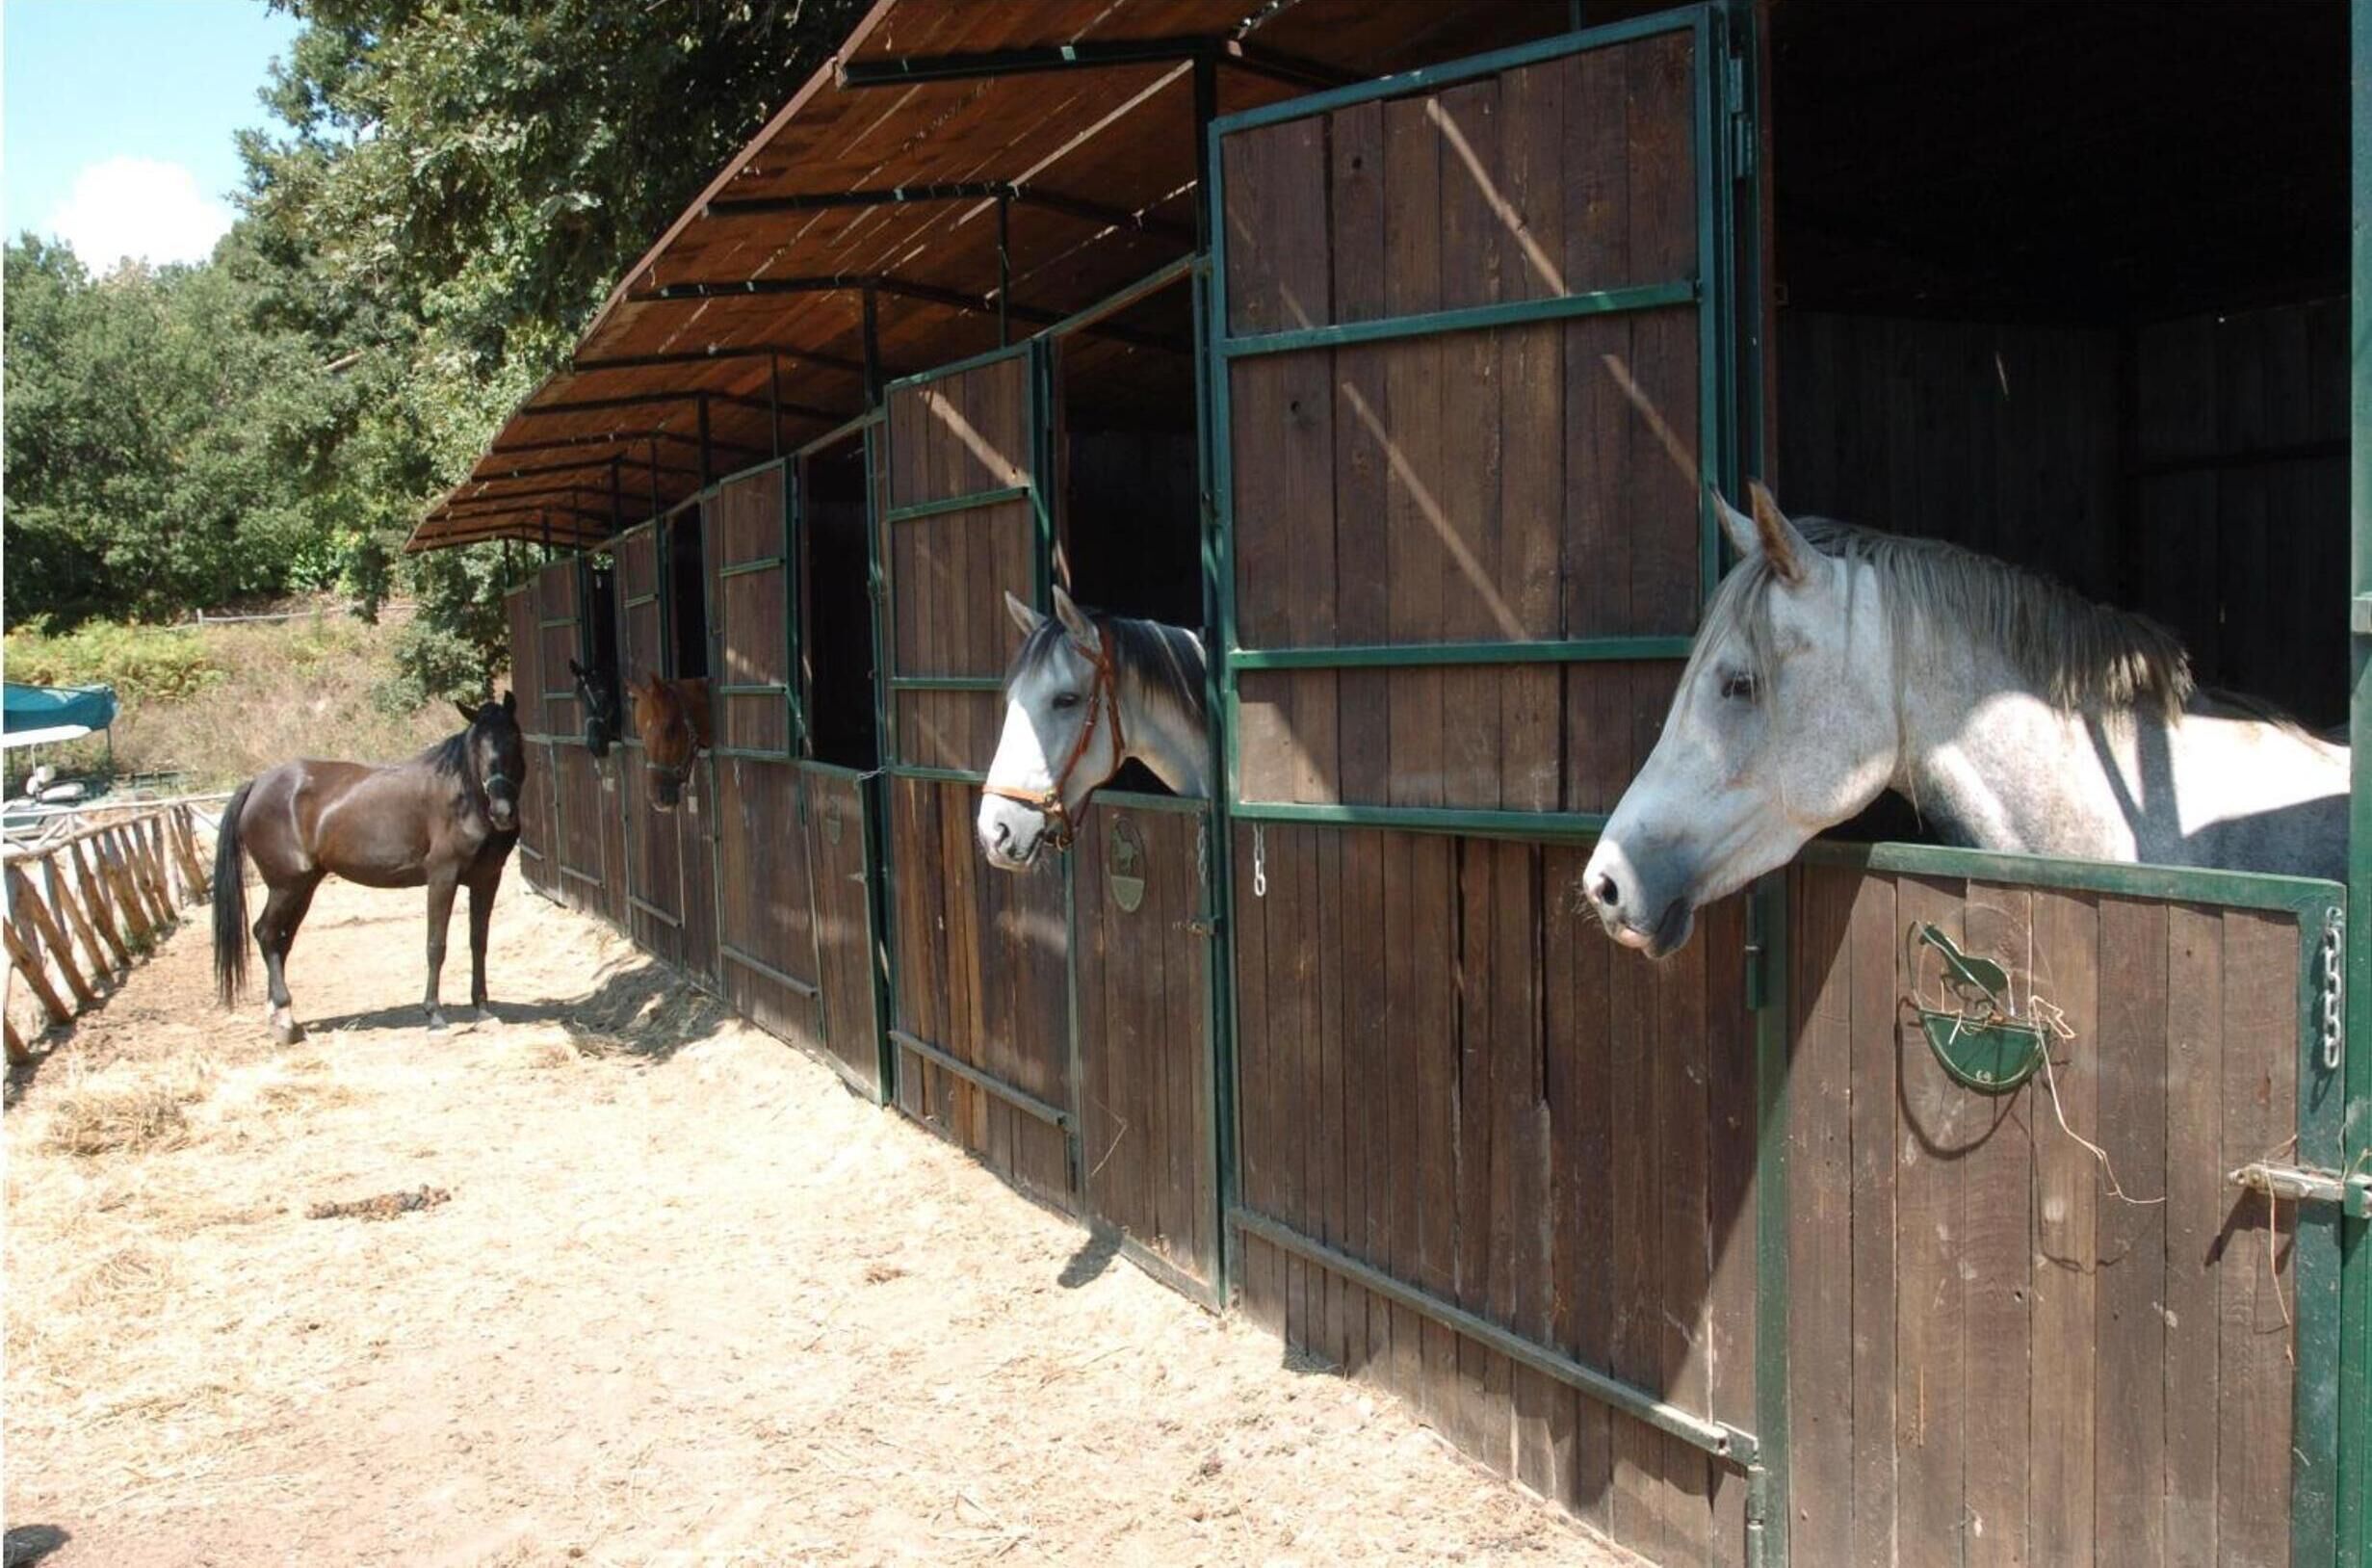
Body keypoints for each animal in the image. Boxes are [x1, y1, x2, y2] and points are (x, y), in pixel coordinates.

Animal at [212, 693, 527, 1042]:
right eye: (478, 747)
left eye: (514, 738)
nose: (503, 812)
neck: (463, 799)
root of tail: (256, 784)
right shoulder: (442, 878)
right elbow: (436, 945)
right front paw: (435, 1016)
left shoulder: (487, 879)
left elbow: (478, 942)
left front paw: (484, 1013)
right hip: (285, 886)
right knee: (266, 934)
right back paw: (282, 1017)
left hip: (303, 887)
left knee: (281, 940)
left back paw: (284, 1019)